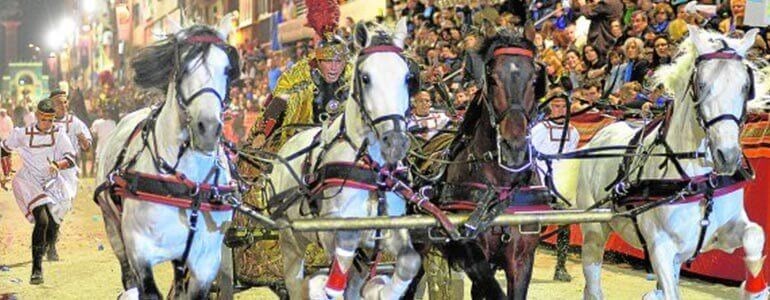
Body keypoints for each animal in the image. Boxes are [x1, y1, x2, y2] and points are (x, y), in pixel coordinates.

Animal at [95, 18, 240, 298]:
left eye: (228, 70)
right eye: (183, 68)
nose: (207, 128)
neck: (189, 188)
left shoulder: (205, 263)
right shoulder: (139, 248)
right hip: (111, 225)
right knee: (126, 273)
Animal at [264, 19, 420, 298]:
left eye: (407, 78)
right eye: (365, 78)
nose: (395, 141)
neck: (371, 171)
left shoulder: (392, 228)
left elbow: (409, 261)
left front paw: (380, 290)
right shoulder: (330, 231)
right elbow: (341, 255)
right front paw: (330, 287)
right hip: (290, 238)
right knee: (295, 282)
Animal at [560, 26, 768, 300]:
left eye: (746, 86)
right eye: (701, 85)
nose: (728, 155)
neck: (699, 182)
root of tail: (601, 133)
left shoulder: (725, 234)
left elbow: (755, 235)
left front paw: (755, 288)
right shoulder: (660, 247)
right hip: (595, 229)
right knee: (593, 284)